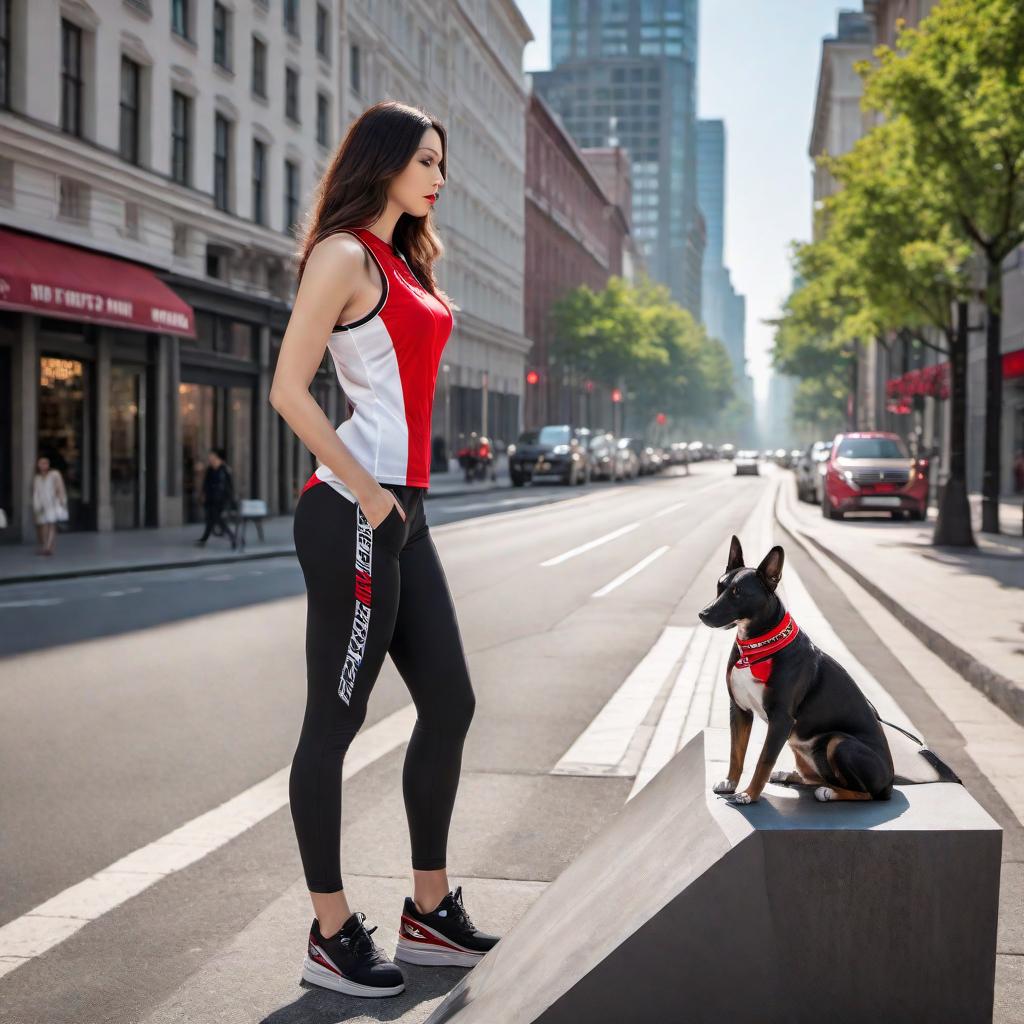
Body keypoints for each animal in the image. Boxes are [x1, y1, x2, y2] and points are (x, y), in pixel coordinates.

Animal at [700, 536, 954, 806]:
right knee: (817, 776)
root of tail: (890, 782)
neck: (757, 649)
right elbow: (736, 752)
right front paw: (730, 782)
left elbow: (763, 761)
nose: (703, 614)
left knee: (864, 792)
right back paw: (792, 775)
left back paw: (830, 793)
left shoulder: (781, 720)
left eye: (737, 594)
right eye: (719, 587)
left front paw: (749, 794)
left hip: (839, 743)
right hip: (800, 746)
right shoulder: (739, 709)